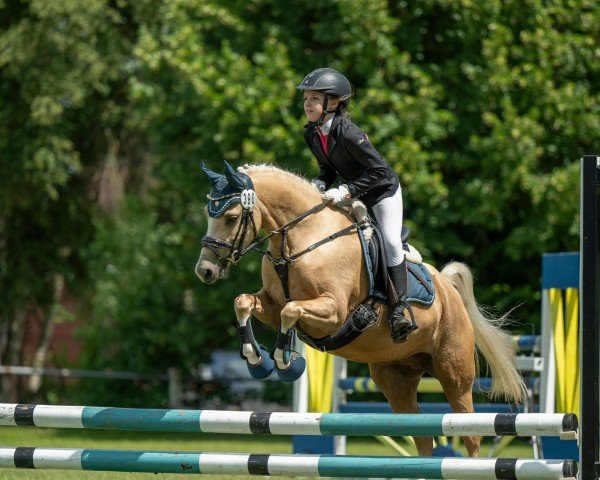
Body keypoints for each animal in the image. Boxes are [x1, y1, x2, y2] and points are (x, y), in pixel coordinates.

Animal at [196, 162, 524, 458]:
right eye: (208, 215)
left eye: (231, 217)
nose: (205, 271)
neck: (303, 239)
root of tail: (447, 288)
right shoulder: (271, 304)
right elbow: (244, 302)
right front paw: (257, 359)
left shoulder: (333, 313)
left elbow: (291, 312)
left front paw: (285, 362)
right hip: (396, 378)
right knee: (422, 436)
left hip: (454, 375)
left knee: (469, 433)